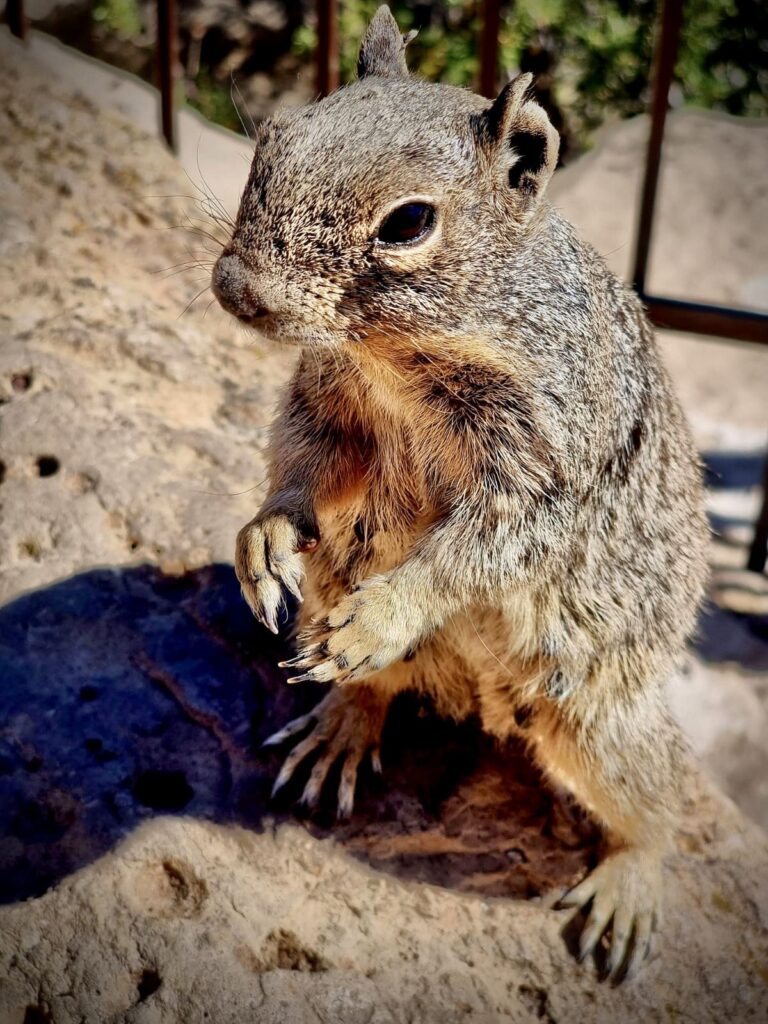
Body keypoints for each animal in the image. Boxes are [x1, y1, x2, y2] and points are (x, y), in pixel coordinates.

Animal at [210, 8, 708, 983]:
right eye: (270, 143)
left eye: (407, 222)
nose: (236, 289)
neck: (392, 358)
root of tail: (480, 702)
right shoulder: (330, 407)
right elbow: (302, 466)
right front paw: (262, 536)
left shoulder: (540, 468)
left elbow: (482, 550)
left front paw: (386, 611)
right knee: (369, 688)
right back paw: (338, 722)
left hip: (597, 721)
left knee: (654, 805)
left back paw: (629, 884)